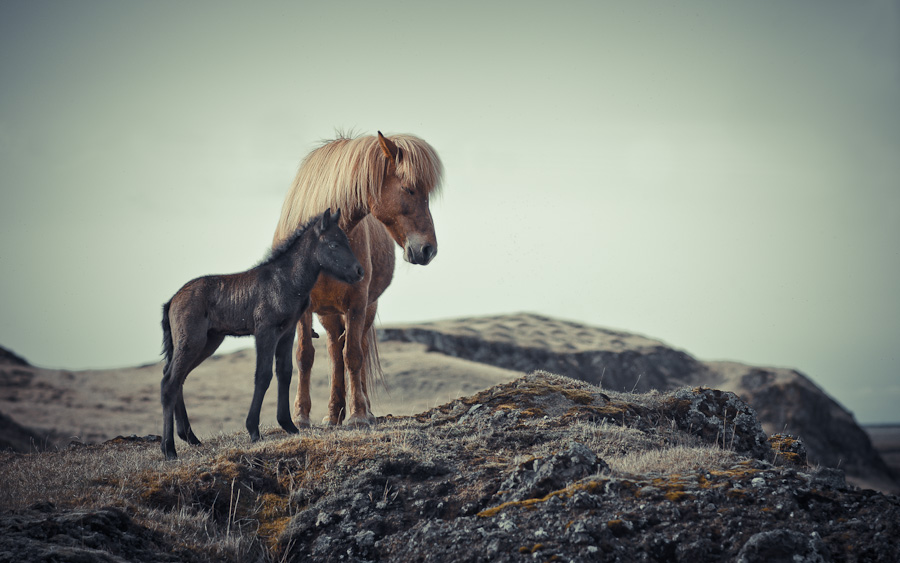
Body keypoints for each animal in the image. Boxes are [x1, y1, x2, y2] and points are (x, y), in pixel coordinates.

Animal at [162, 209, 362, 460]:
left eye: (346, 241)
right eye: (334, 244)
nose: (359, 271)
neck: (286, 279)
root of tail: (172, 300)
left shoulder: (286, 332)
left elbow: (284, 372)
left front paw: (289, 425)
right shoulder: (265, 331)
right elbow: (263, 375)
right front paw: (254, 430)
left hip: (208, 342)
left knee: (177, 379)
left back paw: (191, 438)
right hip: (192, 341)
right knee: (170, 382)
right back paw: (169, 449)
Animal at [274, 133, 442, 428]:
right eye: (409, 189)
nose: (428, 250)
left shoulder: (357, 302)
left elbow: (353, 354)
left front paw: (358, 415)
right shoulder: (301, 307)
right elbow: (305, 356)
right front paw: (301, 416)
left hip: (366, 308)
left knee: (355, 348)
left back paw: (361, 409)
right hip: (328, 313)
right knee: (333, 350)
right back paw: (333, 414)